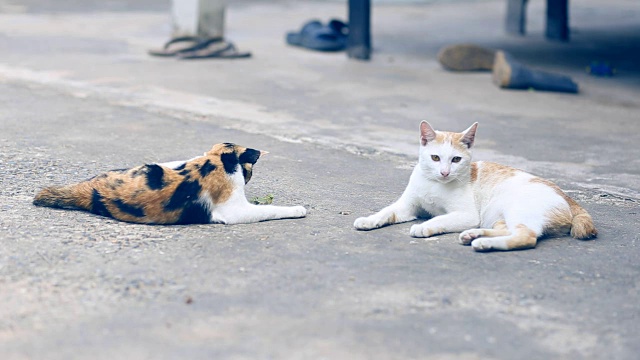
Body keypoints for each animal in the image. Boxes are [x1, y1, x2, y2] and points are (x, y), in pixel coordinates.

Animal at [352, 122, 596, 252]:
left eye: (456, 160)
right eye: (435, 157)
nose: (444, 172)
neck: (434, 184)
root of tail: (569, 198)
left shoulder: (466, 214)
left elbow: (439, 218)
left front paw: (425, 226)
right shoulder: (407, 206)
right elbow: (387, 211)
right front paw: (369, 220)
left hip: (515, 209)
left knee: (526, 236)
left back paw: (483, 243)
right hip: (496, 215)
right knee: (507, 229)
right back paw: (474, 235)